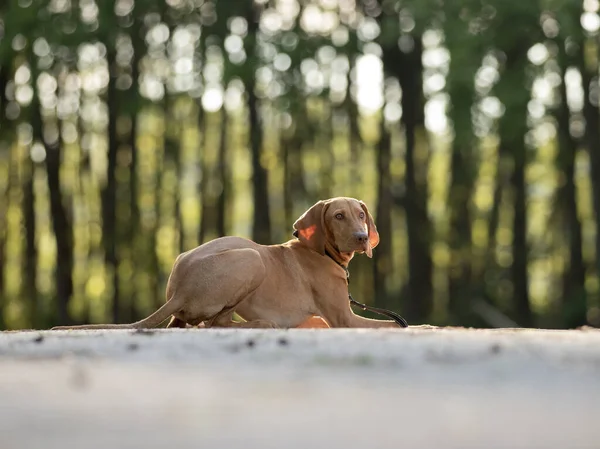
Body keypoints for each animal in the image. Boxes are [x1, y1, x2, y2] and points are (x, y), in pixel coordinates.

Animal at [55, 196, 404, 328]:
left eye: (361, 215)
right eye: (338, 216)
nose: (361, 237)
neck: (322, 251)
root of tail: (178, 290)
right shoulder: (345, 319)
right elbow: (395, 324)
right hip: (252, 257)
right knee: (215, 324)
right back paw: (263, 325)